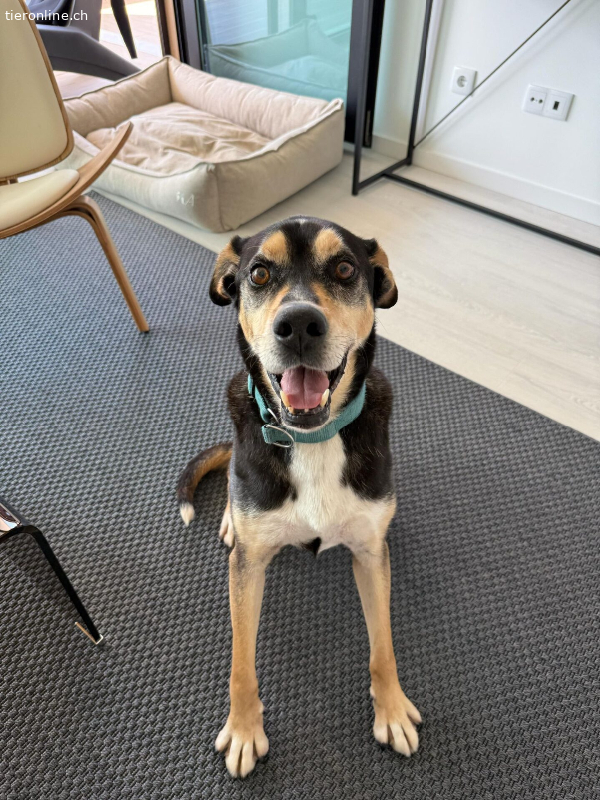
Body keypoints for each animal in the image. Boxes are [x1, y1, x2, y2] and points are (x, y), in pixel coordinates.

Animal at [177, 216, 421, 777]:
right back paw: (229, 517)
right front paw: (245, 730)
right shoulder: (247, 568)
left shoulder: (371, 553)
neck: (311, 437)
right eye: (259, 273)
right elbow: (241, 663)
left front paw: (392, 709)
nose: (300, 325)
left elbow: (383, 647)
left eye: (346, 269)